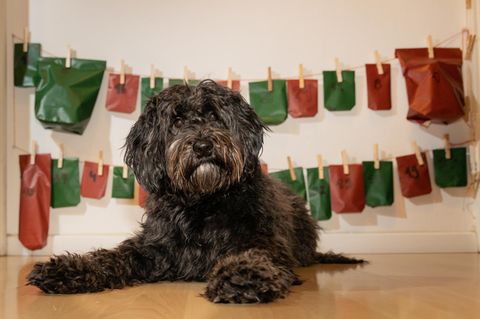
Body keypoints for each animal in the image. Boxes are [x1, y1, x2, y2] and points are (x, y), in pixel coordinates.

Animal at [27, 79, 364, 304]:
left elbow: (258, 254)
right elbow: (111, 256)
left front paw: (244, 275)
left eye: (214, 115)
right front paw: (66, 269)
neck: (203, 202)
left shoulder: (262, 238)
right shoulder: (155, 247)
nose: (202, 145)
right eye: (175, 121)